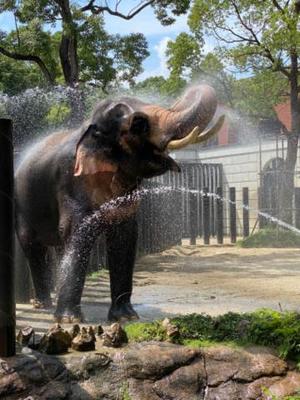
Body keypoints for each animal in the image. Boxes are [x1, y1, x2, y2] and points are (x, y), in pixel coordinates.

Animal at [15, 83, 224, 322]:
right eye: (139, 124)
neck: (89, 128)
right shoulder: (71, 182)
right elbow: (77, 233)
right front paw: (70, 320)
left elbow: (124, 237)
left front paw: (126, 317)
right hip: (22, 203)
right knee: (33, 246)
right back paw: (43, 305)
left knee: (58, 245)